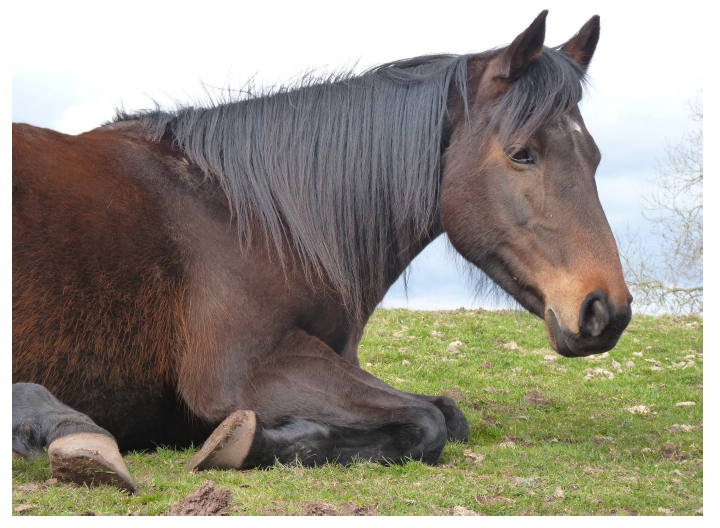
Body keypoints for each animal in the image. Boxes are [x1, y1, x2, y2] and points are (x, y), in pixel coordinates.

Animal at [12, 11, 632, 491]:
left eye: (596, 157)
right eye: (522, 153)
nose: (606, 311)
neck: (249, 217)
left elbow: (446, 412)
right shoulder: (247, 371)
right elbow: (428, 421)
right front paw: (246, 442)